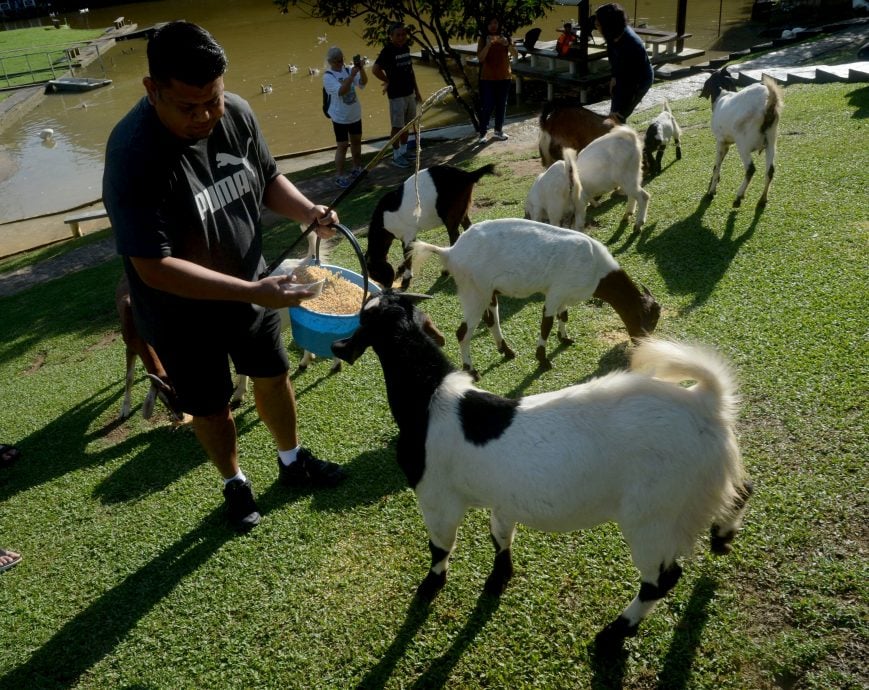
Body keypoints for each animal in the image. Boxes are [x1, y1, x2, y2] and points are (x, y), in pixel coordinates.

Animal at [328, 290, 748, 644]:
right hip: (704, 484)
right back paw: (722, 536)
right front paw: (499, 578)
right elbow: (500, 535)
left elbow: (440, 547)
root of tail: (706, 402)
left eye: (363, 318)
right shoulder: (502, 497)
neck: (430, 399)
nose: (335, 345)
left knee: (661, 579)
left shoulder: (436, 498)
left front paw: (430, 587)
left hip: (653, 515)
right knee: (742, 490)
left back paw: (613, 635)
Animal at [362, 163, 496, 288]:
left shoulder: (407, 233)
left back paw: (446, 270)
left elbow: (407, 252)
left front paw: (406, 276)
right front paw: (401, 268)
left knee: (454, 235)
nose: (386, 286)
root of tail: (467, 175)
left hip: (451, 213)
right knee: (467, 226)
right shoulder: (409, 235)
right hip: (461, 209)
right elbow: (410, 250)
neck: (383, 221)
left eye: (375, 272)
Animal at [700, 69, 784, 210]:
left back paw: (738, 197)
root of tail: (768, 105)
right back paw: (762, 200)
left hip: (743, 143)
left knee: (750, 169)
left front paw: (711, 191)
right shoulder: (727, 142)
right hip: (771, 140)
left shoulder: (720, 141)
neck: (722, 95)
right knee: (770, 170)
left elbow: (717, 165)